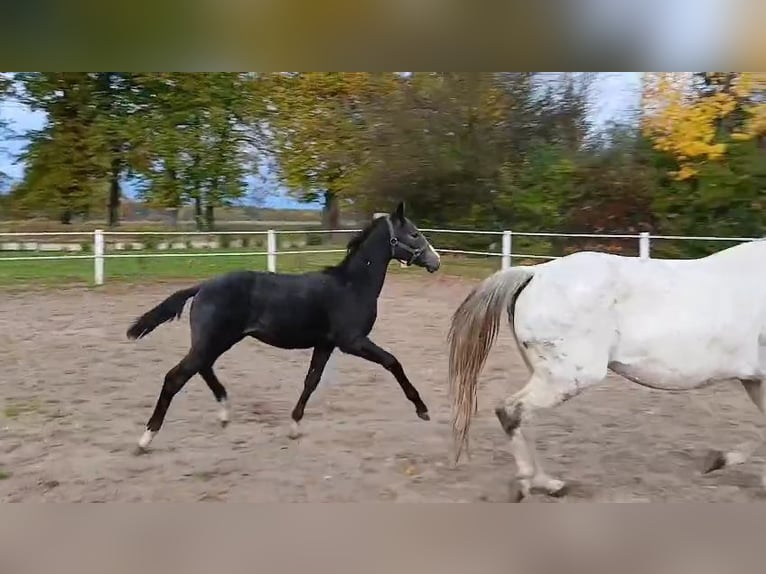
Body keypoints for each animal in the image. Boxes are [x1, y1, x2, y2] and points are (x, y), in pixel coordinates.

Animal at [126, 202, 441, 453]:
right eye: (414, 234)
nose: (436, 261)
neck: (352, 286)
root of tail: (202, 286)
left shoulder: (326, 343)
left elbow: (311, 381)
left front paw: (294, 426)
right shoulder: (352, 341)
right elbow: (393, 362)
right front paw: (422, 409)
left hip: (219, 340)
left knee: (202, 368)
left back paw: (224, 413)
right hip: (214, 340)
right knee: (175, 377)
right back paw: (145, 438)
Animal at [447, 239, 766, 501]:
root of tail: (535, 273)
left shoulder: (755, 381)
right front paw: (720, 461)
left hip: (548, 375)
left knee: (524, 418)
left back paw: (549, 484)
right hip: (569, 377)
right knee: (512, 411)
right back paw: (529, 483)